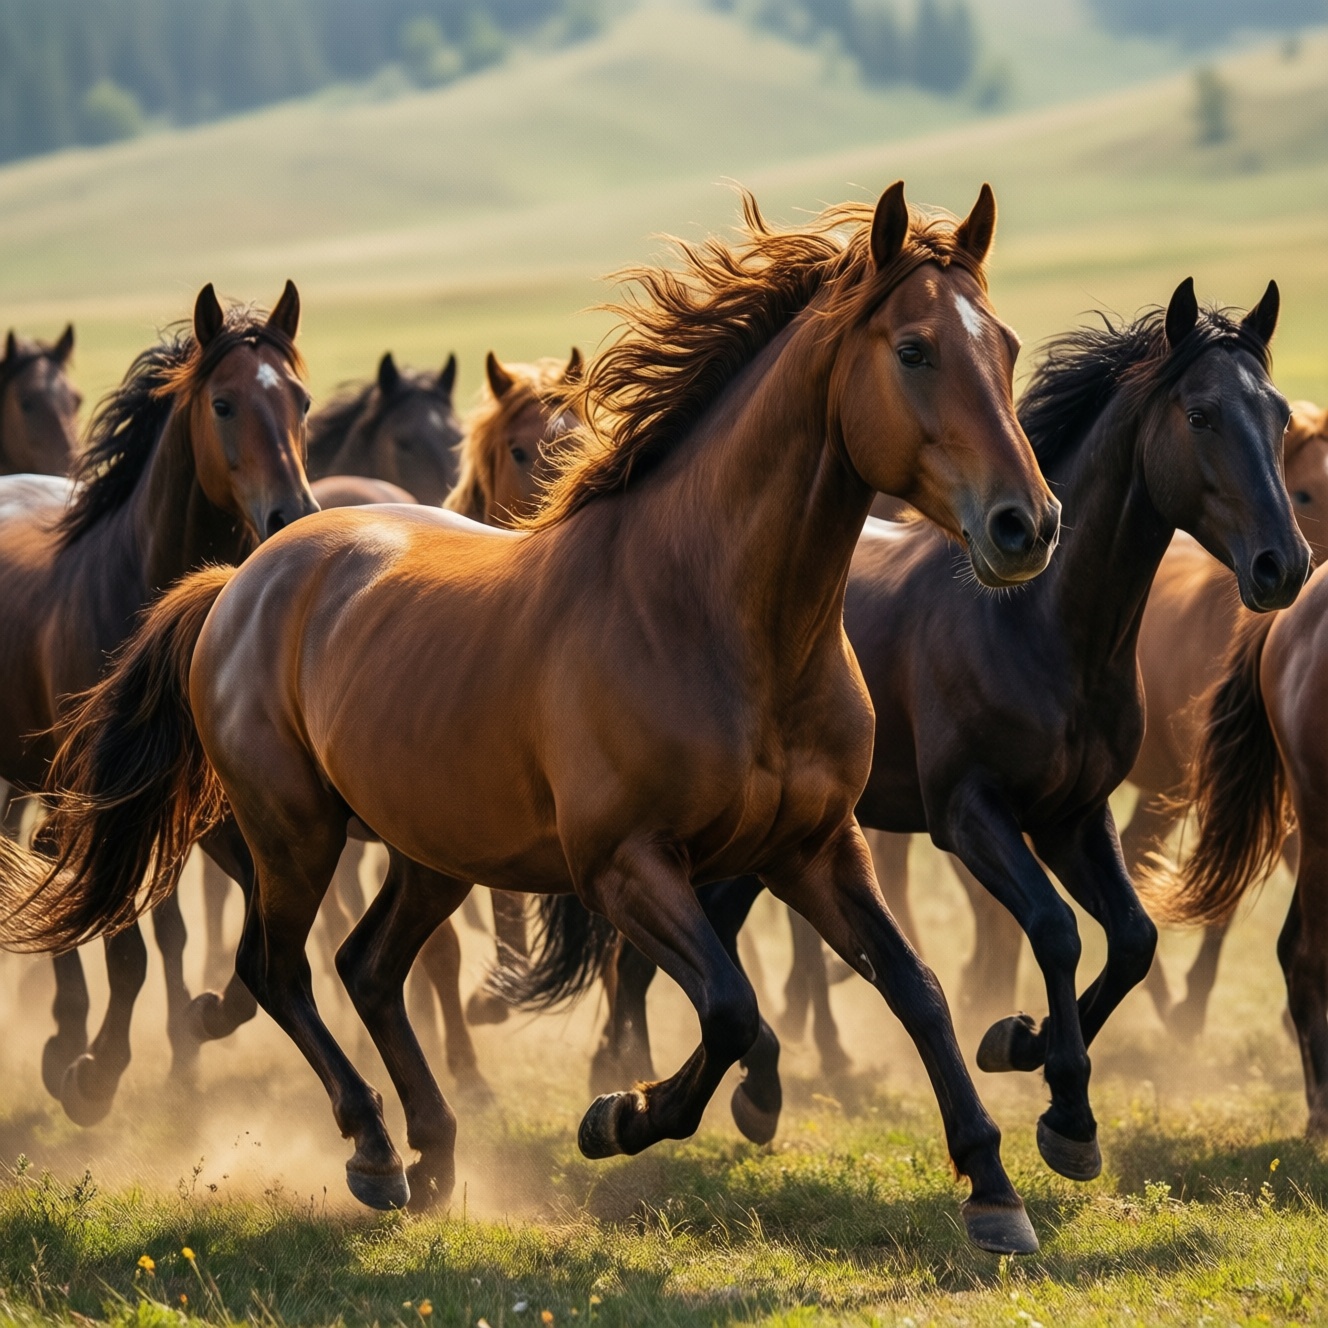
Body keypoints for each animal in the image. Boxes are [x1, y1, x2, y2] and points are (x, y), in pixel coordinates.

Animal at [576, 278, 1308, 1182]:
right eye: (1201, 415)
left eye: (1279, 417)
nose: (1284, 566)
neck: (1041, 627)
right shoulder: (968, 815)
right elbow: (1057, 930)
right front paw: (1062, 1104)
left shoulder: (1073, 816)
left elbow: (1133, 939)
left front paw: (1022, 1045)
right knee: (650, 952)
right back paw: (625, 1081)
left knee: (703, 934)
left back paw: (740, 1090)